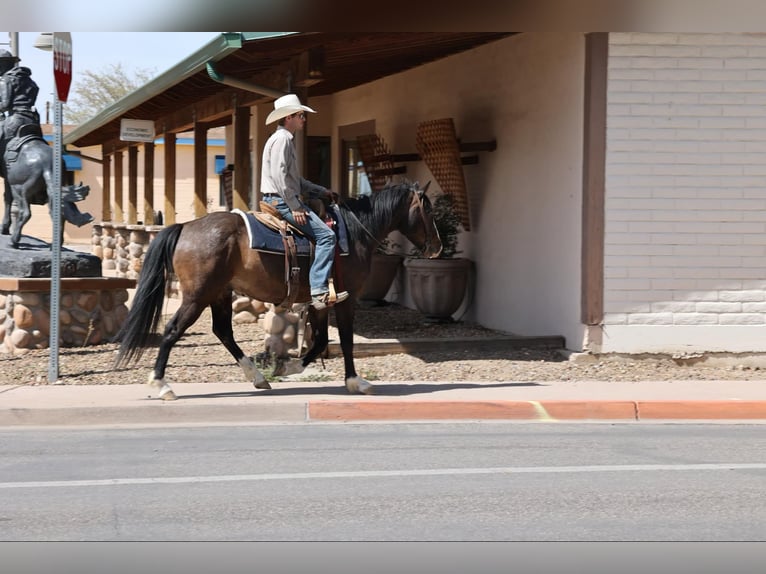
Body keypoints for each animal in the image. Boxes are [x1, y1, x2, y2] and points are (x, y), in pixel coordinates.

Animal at [114, 181, 443, 400]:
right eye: (427, 209)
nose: (438, 247)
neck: (352, 234)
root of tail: (186, 226)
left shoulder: (319, 302)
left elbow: (320, 341)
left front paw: (289, 367)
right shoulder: (344, 300)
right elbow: (345, 341)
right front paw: (355, 382)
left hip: (219, 293)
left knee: (223, 332)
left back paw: (258, 377)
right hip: (198, 296)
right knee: (172, 330)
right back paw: (162, 384)